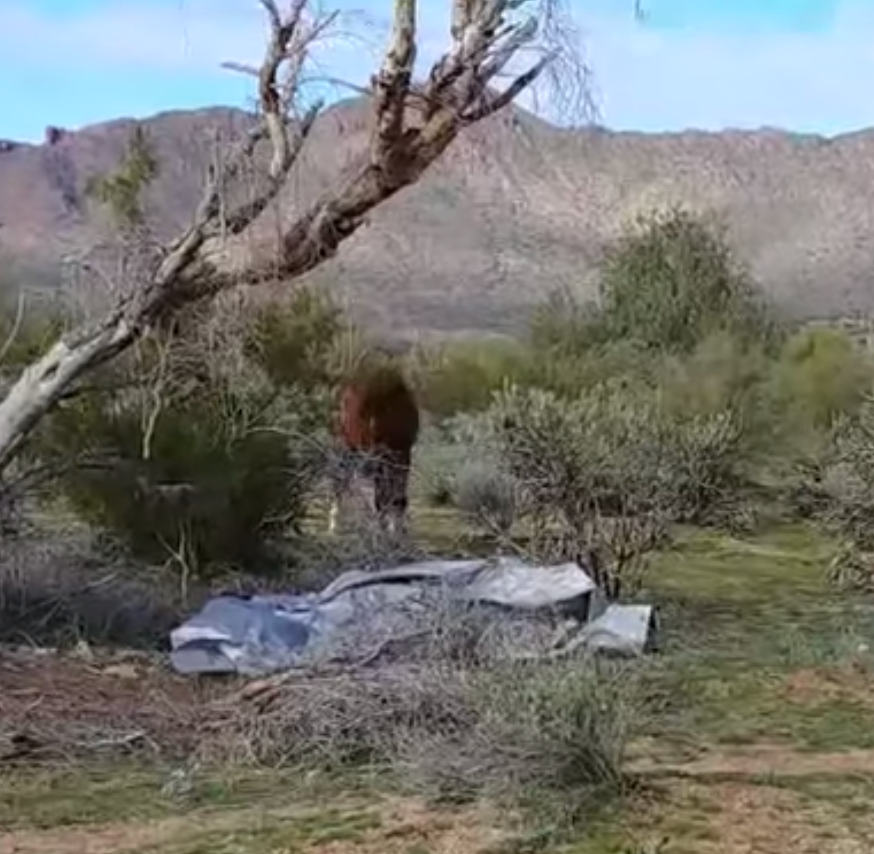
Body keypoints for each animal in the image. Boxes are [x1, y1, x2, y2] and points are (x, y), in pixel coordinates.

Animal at [328, 360, 420, 537]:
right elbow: (383, 497)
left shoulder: (402, 452)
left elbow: (395, 496)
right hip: (348, 445)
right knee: (340, 480)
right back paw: (334, 524)